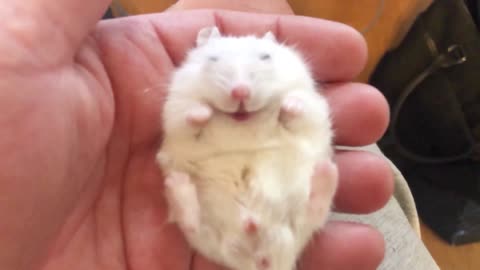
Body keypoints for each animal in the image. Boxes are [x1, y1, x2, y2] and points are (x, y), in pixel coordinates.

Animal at [158, 25, 338, 270]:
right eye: (213, 58)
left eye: (266, 56)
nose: (240, 92)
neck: (243, 121)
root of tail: (260, 258)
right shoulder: (176, 107)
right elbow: (190, 115)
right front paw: (204, 112)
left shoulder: (309, 100)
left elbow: (298, 106)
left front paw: (287, 106)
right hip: (209, 239)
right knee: (192, 224)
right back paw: (178, 184)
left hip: (299, 217)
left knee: (314, 211)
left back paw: (326, 171)